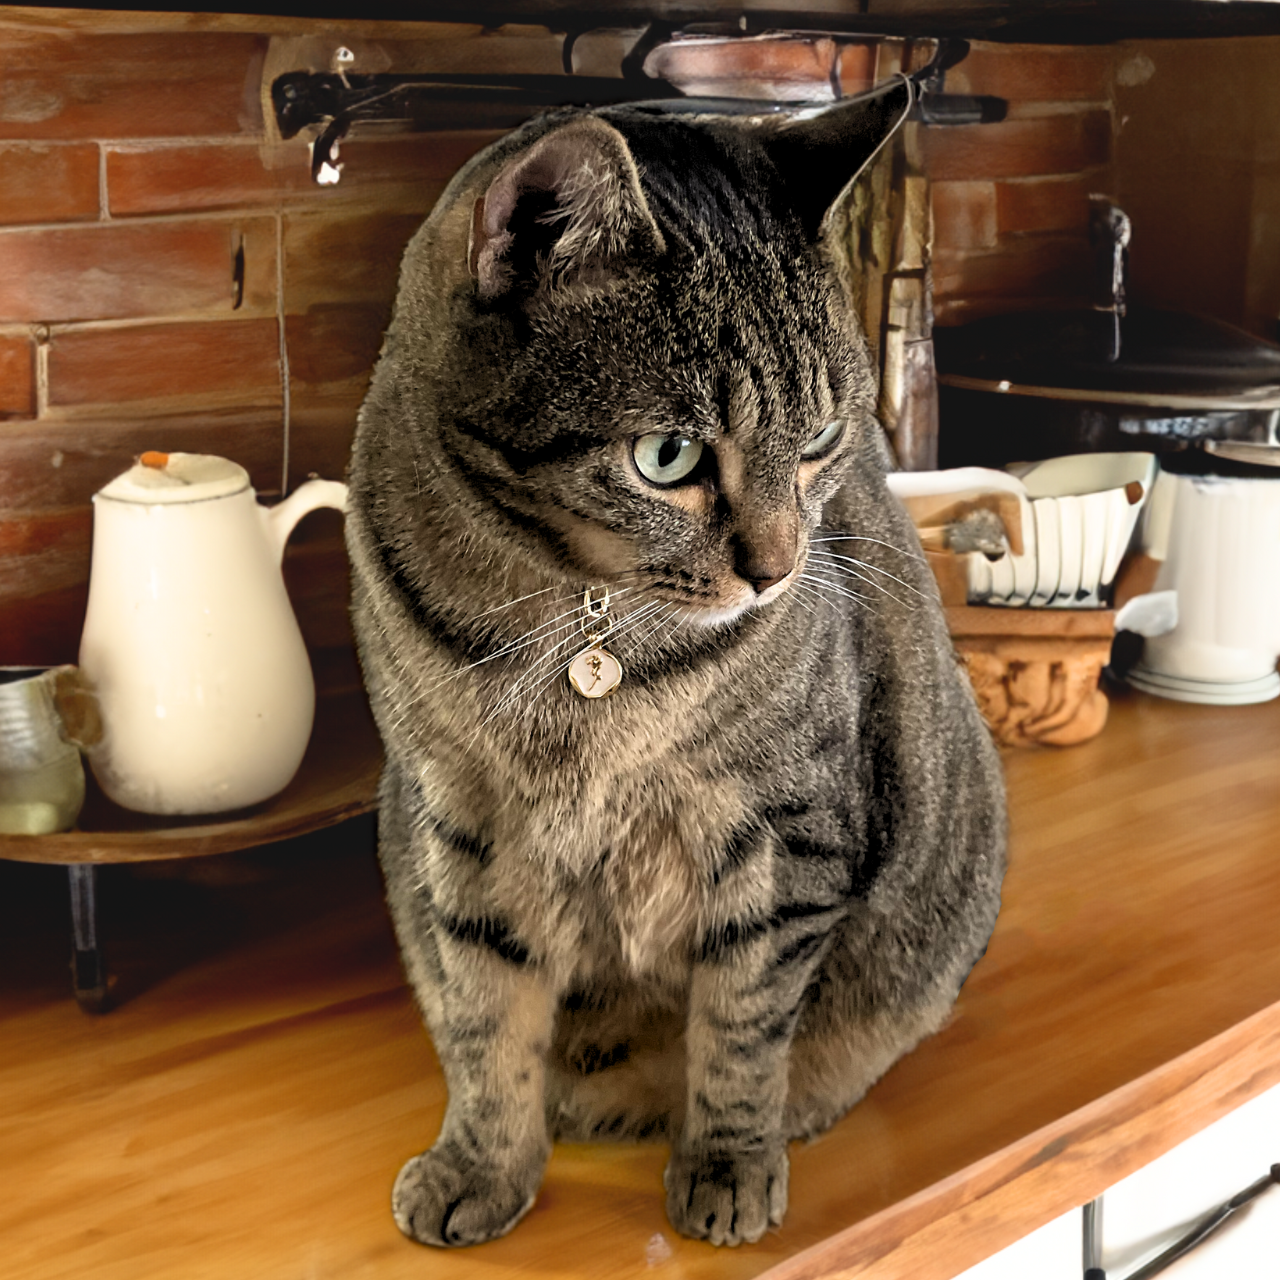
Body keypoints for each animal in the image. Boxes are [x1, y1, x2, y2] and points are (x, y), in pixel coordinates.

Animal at [345, 80, 1003, 1249]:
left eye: (821, 439)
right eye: (668, 458)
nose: (778, 571)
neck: (576, 631)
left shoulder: (784, 835)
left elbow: (740, 1031)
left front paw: (729, 1165)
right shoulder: (459, 821)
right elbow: (486, 1019)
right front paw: (483, 1164)